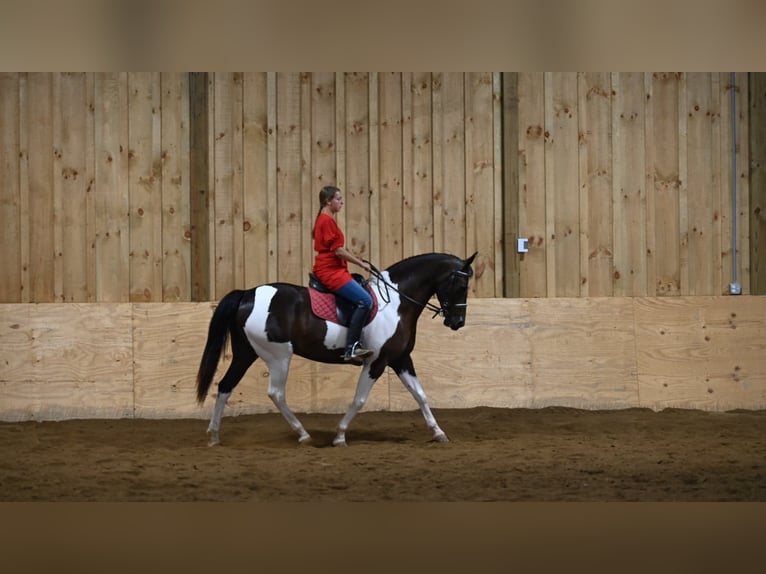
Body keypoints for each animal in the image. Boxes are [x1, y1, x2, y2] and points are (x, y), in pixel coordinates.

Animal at [195, 253, 476, 450]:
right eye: (462, 285)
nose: (457, 323)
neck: (397, 302)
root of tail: (247, 294)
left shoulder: (400, 358)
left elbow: (420, 395)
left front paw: (438, 433)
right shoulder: (377, 361)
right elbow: (359, 400)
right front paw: (340, 436)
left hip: (246, 354)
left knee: (224, 386)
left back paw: (214, 436)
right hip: (278, 356)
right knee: (276, 393)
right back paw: (303, 434)